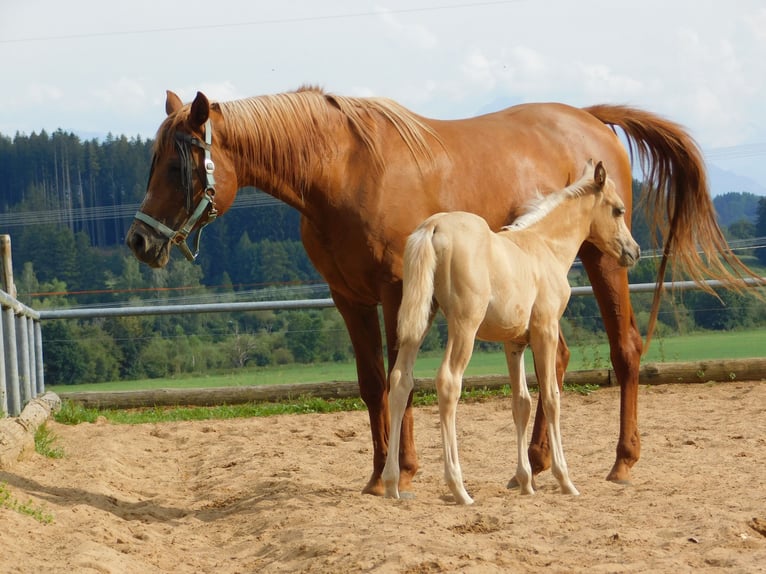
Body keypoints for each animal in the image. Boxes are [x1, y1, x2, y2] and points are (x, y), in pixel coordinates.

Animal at [384, 161, 640, 504]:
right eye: (618, 209)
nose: (634, 251)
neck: (546, 247)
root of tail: (433, 227)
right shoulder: (545, 330)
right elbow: (551, 397)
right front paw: (565, 480)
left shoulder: (513, 343)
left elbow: (521, 403)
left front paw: (526, 482)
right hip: (464, 324)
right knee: (448, 381)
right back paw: (459, 488)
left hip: (420, 319)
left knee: (401, 380)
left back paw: (391, 484)